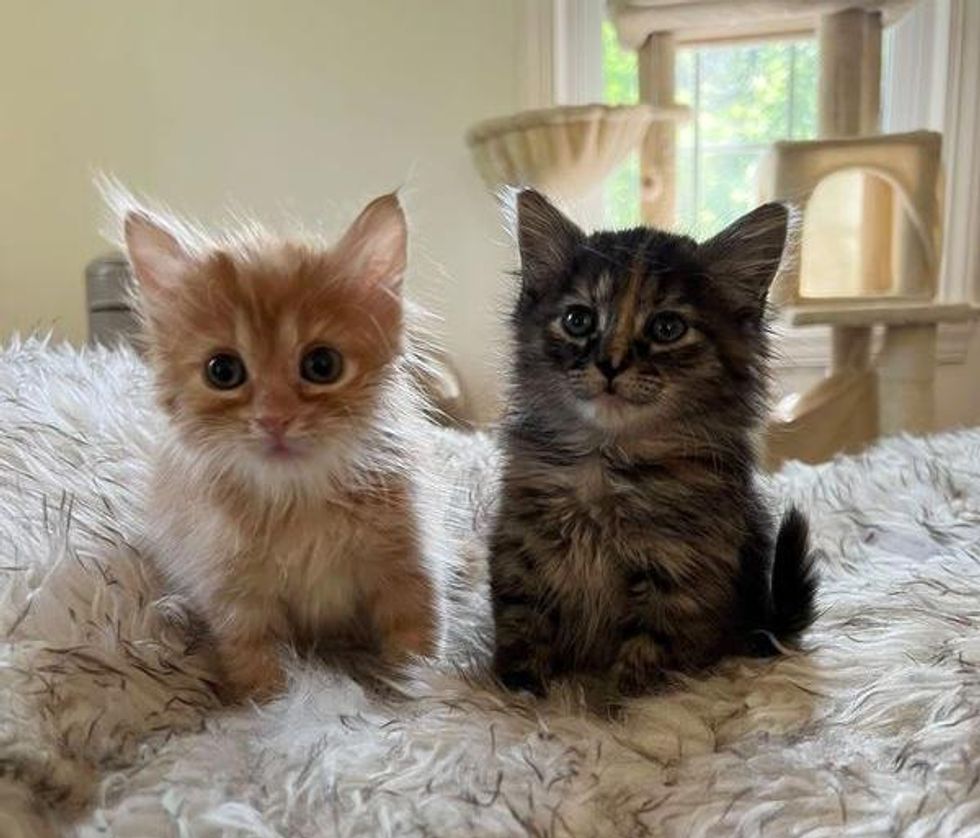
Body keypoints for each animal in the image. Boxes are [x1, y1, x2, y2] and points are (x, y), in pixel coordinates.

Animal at [124, 192, 442, 704]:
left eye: (321, 365)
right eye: (222, 371)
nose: (274, 419)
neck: (300, 501)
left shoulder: (408, 569)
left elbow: (418, 645)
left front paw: (415, 697)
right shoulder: (236, 601)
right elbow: (261, 673)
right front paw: (278, 709)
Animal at [490, 194, 820, 700]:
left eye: (667, 328)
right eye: (578, 320)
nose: (610, 363)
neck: (607, 460)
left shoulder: (681, 574)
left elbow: (647, 654)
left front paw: (617, 706)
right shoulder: (521, 546)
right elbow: (522, 623)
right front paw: (518, 693)